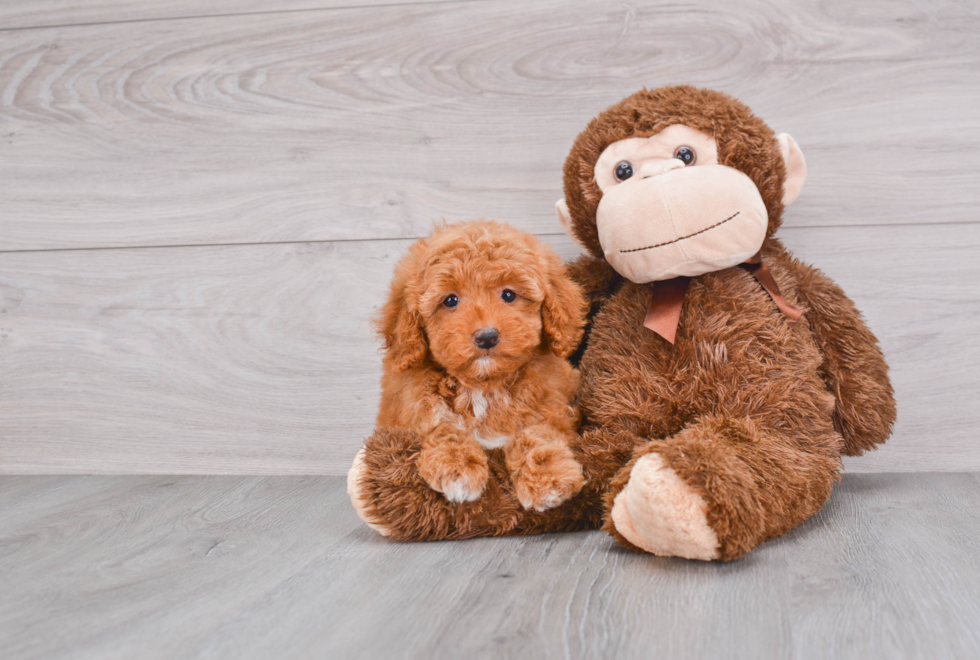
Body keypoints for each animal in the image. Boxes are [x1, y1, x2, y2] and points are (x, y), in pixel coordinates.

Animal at [348, 219, 584, 532]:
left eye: (508, 294)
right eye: (450, 300)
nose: (486, 336)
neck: (482, 386)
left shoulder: (554, 411)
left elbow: (536, 435)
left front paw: (548, 480)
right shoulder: (409, 416)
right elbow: (443, 428)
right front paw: (456, 468)